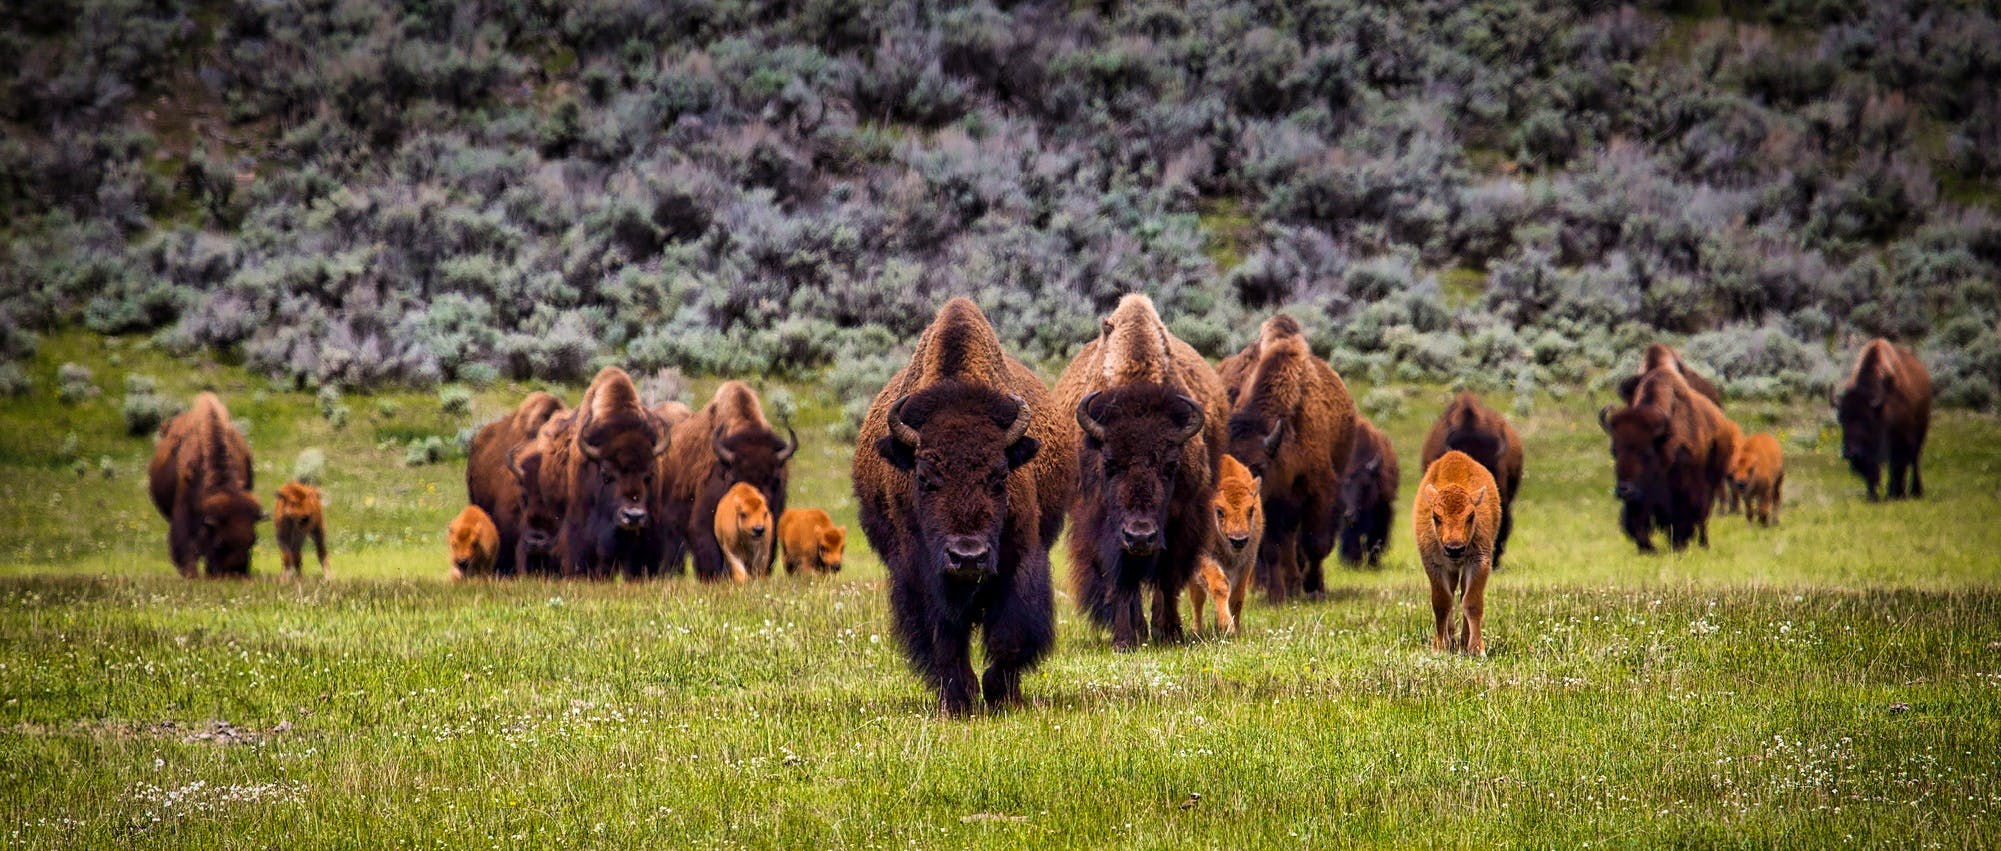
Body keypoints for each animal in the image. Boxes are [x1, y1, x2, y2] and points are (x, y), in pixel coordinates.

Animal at [853, 298, 1076, 714]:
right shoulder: (920, 571)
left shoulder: (1020, 557)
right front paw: (959, 699)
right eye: (924, 477)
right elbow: (943, 639)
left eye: (1000, 475)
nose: (968, 557)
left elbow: (1011, 635)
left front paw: (1000, 693)